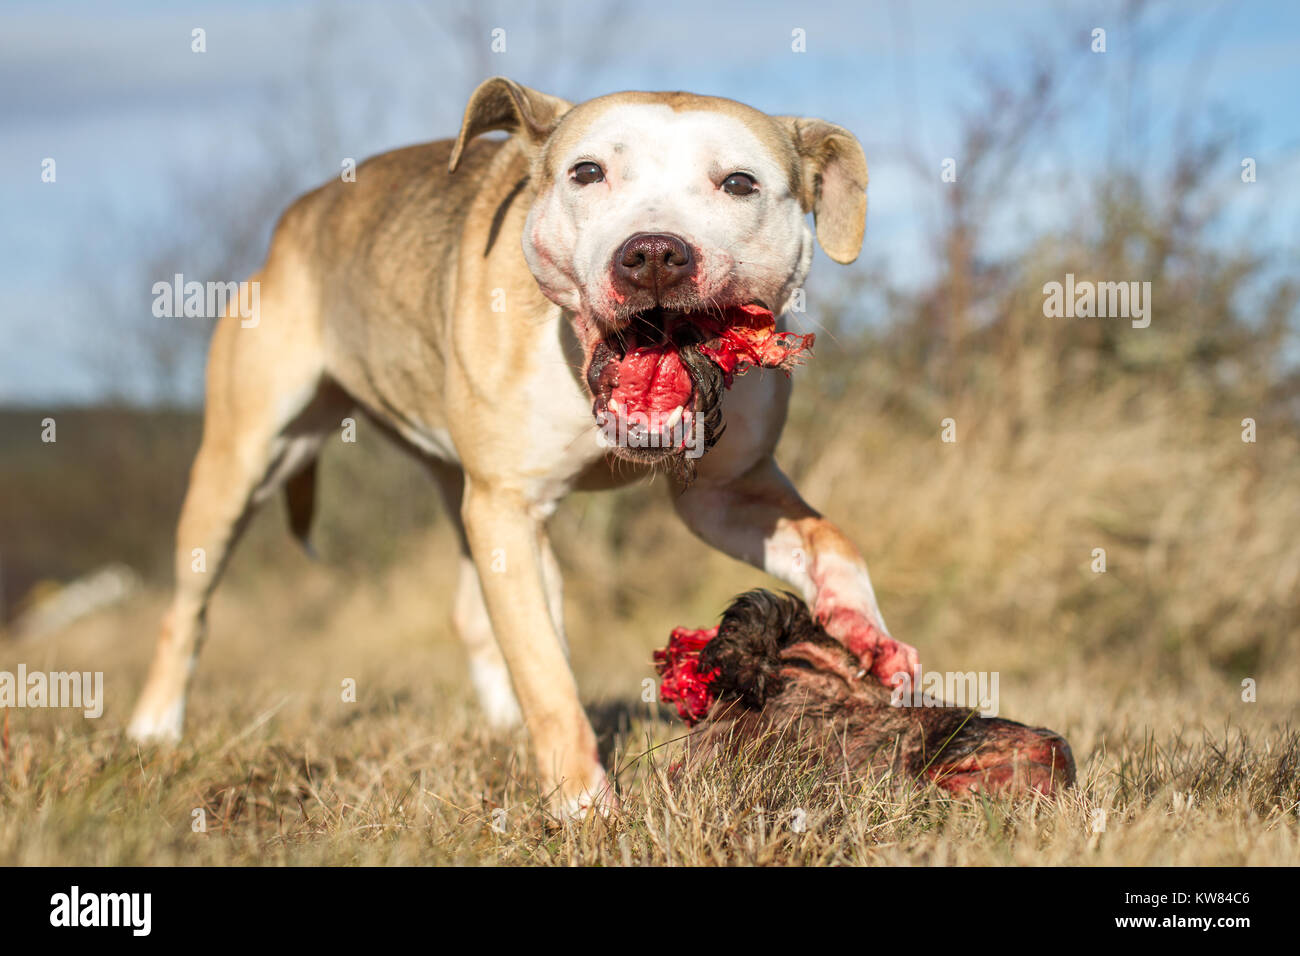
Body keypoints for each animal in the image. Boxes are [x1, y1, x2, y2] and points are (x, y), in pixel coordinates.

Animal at [126, 78, 920, 816]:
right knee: (185, 610)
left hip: (458, 489)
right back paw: (153, 730)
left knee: (475, 609)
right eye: (587, 172)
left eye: (739, 183)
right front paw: (582, 806)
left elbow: (833, 543)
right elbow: (546, 673)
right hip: (245, 462)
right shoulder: (508, 505)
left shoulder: (726, 493)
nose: (654, 254)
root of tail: (300, 214)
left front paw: (865, 636)